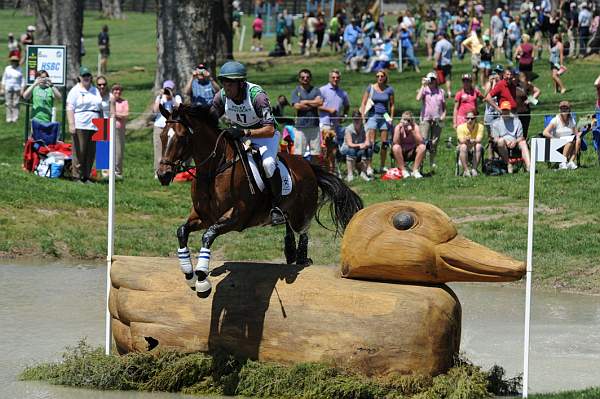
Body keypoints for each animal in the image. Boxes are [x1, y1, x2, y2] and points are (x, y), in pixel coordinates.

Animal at [156, 103, 360, 296]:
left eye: (181, 137)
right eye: (162, 136)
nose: (163, 175)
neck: (214, 170)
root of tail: (308, 165)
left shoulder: (236, 218)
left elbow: (208, 235)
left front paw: (202, 281)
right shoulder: (203, 217)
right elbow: (182, 231)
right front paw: (189, 275)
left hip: (301, 214)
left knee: (303, 231)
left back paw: (302, 259)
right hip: (288, 212)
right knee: (289, 230)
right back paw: (290, 254)